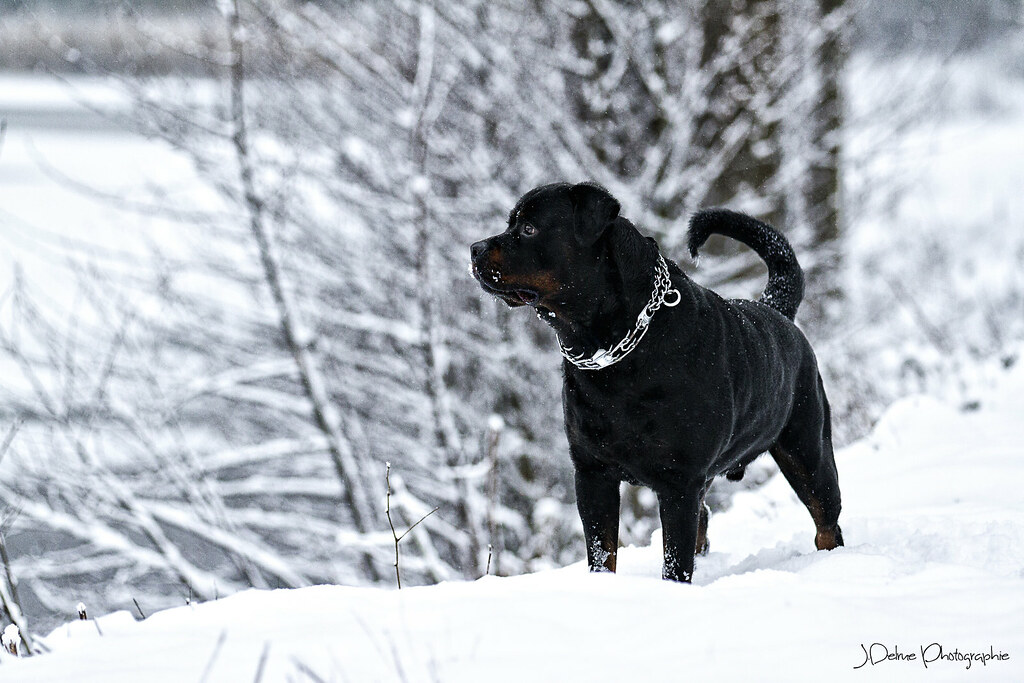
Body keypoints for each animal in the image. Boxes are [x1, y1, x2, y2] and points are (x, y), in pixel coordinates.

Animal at [468, 181, 839, 581]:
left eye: (528, 229)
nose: (475, 248)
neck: (613, 350)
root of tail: (776, 309)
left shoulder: (680, 482)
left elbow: (675, 561)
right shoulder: (592, 473)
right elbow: (602, 553)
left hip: (809, 451)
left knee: (826, 521)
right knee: (705, 519)